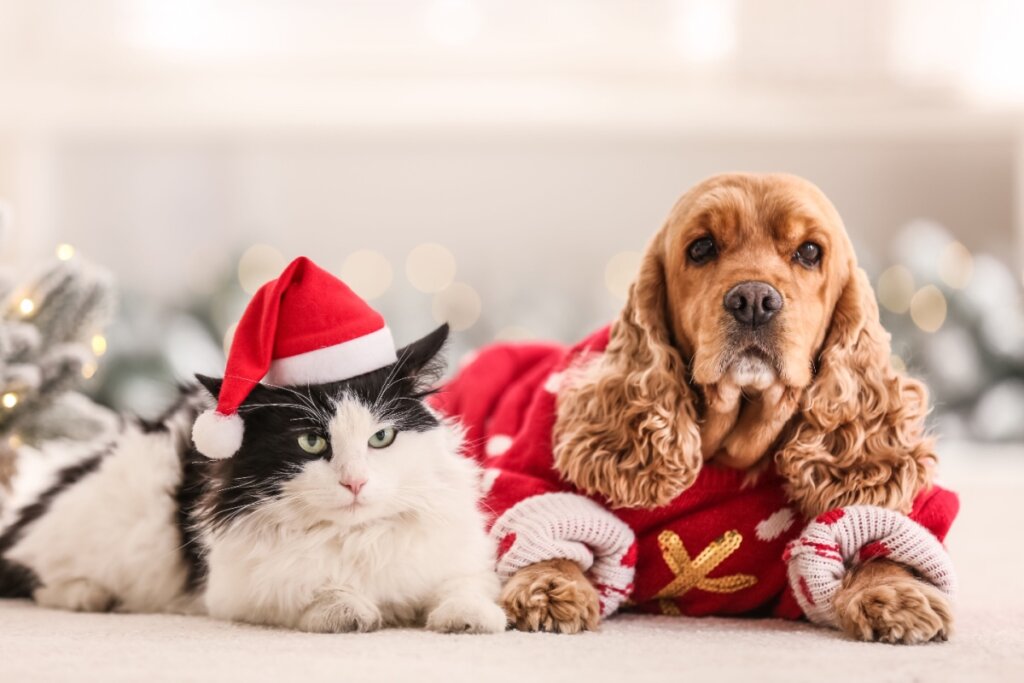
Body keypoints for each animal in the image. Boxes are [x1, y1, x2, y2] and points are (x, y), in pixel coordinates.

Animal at [0, 325, 507, 634]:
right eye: (311, 443)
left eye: (381, 437)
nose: (355, 483)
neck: (357, 537)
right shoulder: (237, 590)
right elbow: (314, 588)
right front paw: (349, 610)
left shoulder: (459, 560)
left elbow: (464, 587)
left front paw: (469, 618)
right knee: (35, 569)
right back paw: (87, 595)